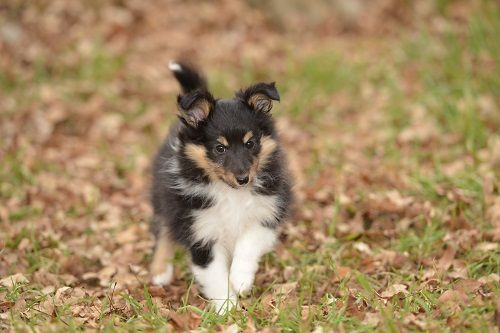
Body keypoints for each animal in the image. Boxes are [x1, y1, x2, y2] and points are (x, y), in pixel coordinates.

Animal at [150, 61, 294, 312]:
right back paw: (160, 271)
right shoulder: (201, 233)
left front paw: (241, 280)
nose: (243, 179)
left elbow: (248, 243)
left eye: (250, 143)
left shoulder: (267, 213)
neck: (230, 193)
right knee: (163, 232)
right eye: (220, 148)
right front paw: (227, 309)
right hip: (166, 202)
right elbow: (215, 276)